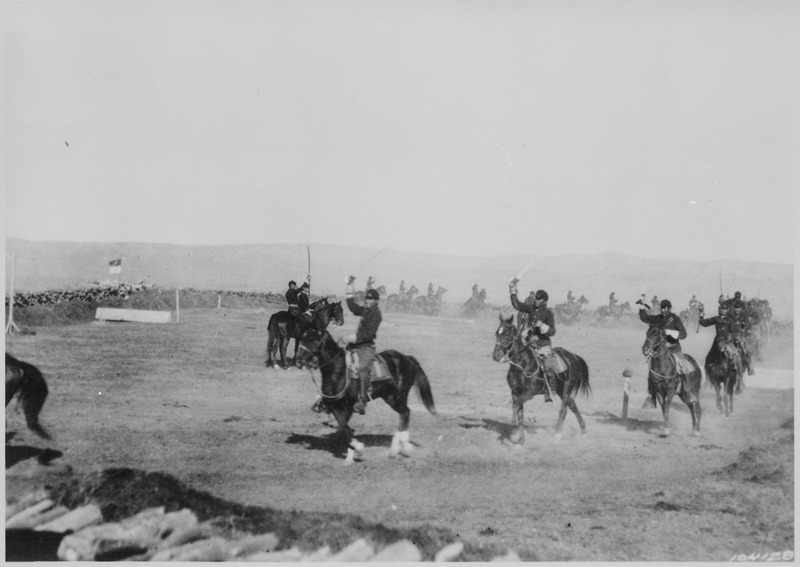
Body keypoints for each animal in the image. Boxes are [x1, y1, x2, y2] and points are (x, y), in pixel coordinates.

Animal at [294, 326, 434, 464]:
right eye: (302, 338)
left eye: (313, 339)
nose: (298, 361)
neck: (339, 372)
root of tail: (407, 358)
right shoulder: (335, 407)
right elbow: (343, 429)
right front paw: (350, 456)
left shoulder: (348, 407)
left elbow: (344, 428)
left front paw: (359, 450)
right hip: (389, 397)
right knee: (404, 413)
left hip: (398, 396)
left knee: (406, 413)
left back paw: (401, 448)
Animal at [490, 316, 592, 444]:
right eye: (497, 333)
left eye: (507, 334)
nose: (496, 356)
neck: (523, 364)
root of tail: (573, 357)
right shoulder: (515, 392)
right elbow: (520, 414)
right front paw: (520, 440)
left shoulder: (530, 392)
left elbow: (517, 406)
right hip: (559, 390)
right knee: (573, 405)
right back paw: (584, 430)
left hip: (566, 389)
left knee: (563, 411)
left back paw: (558, 434)